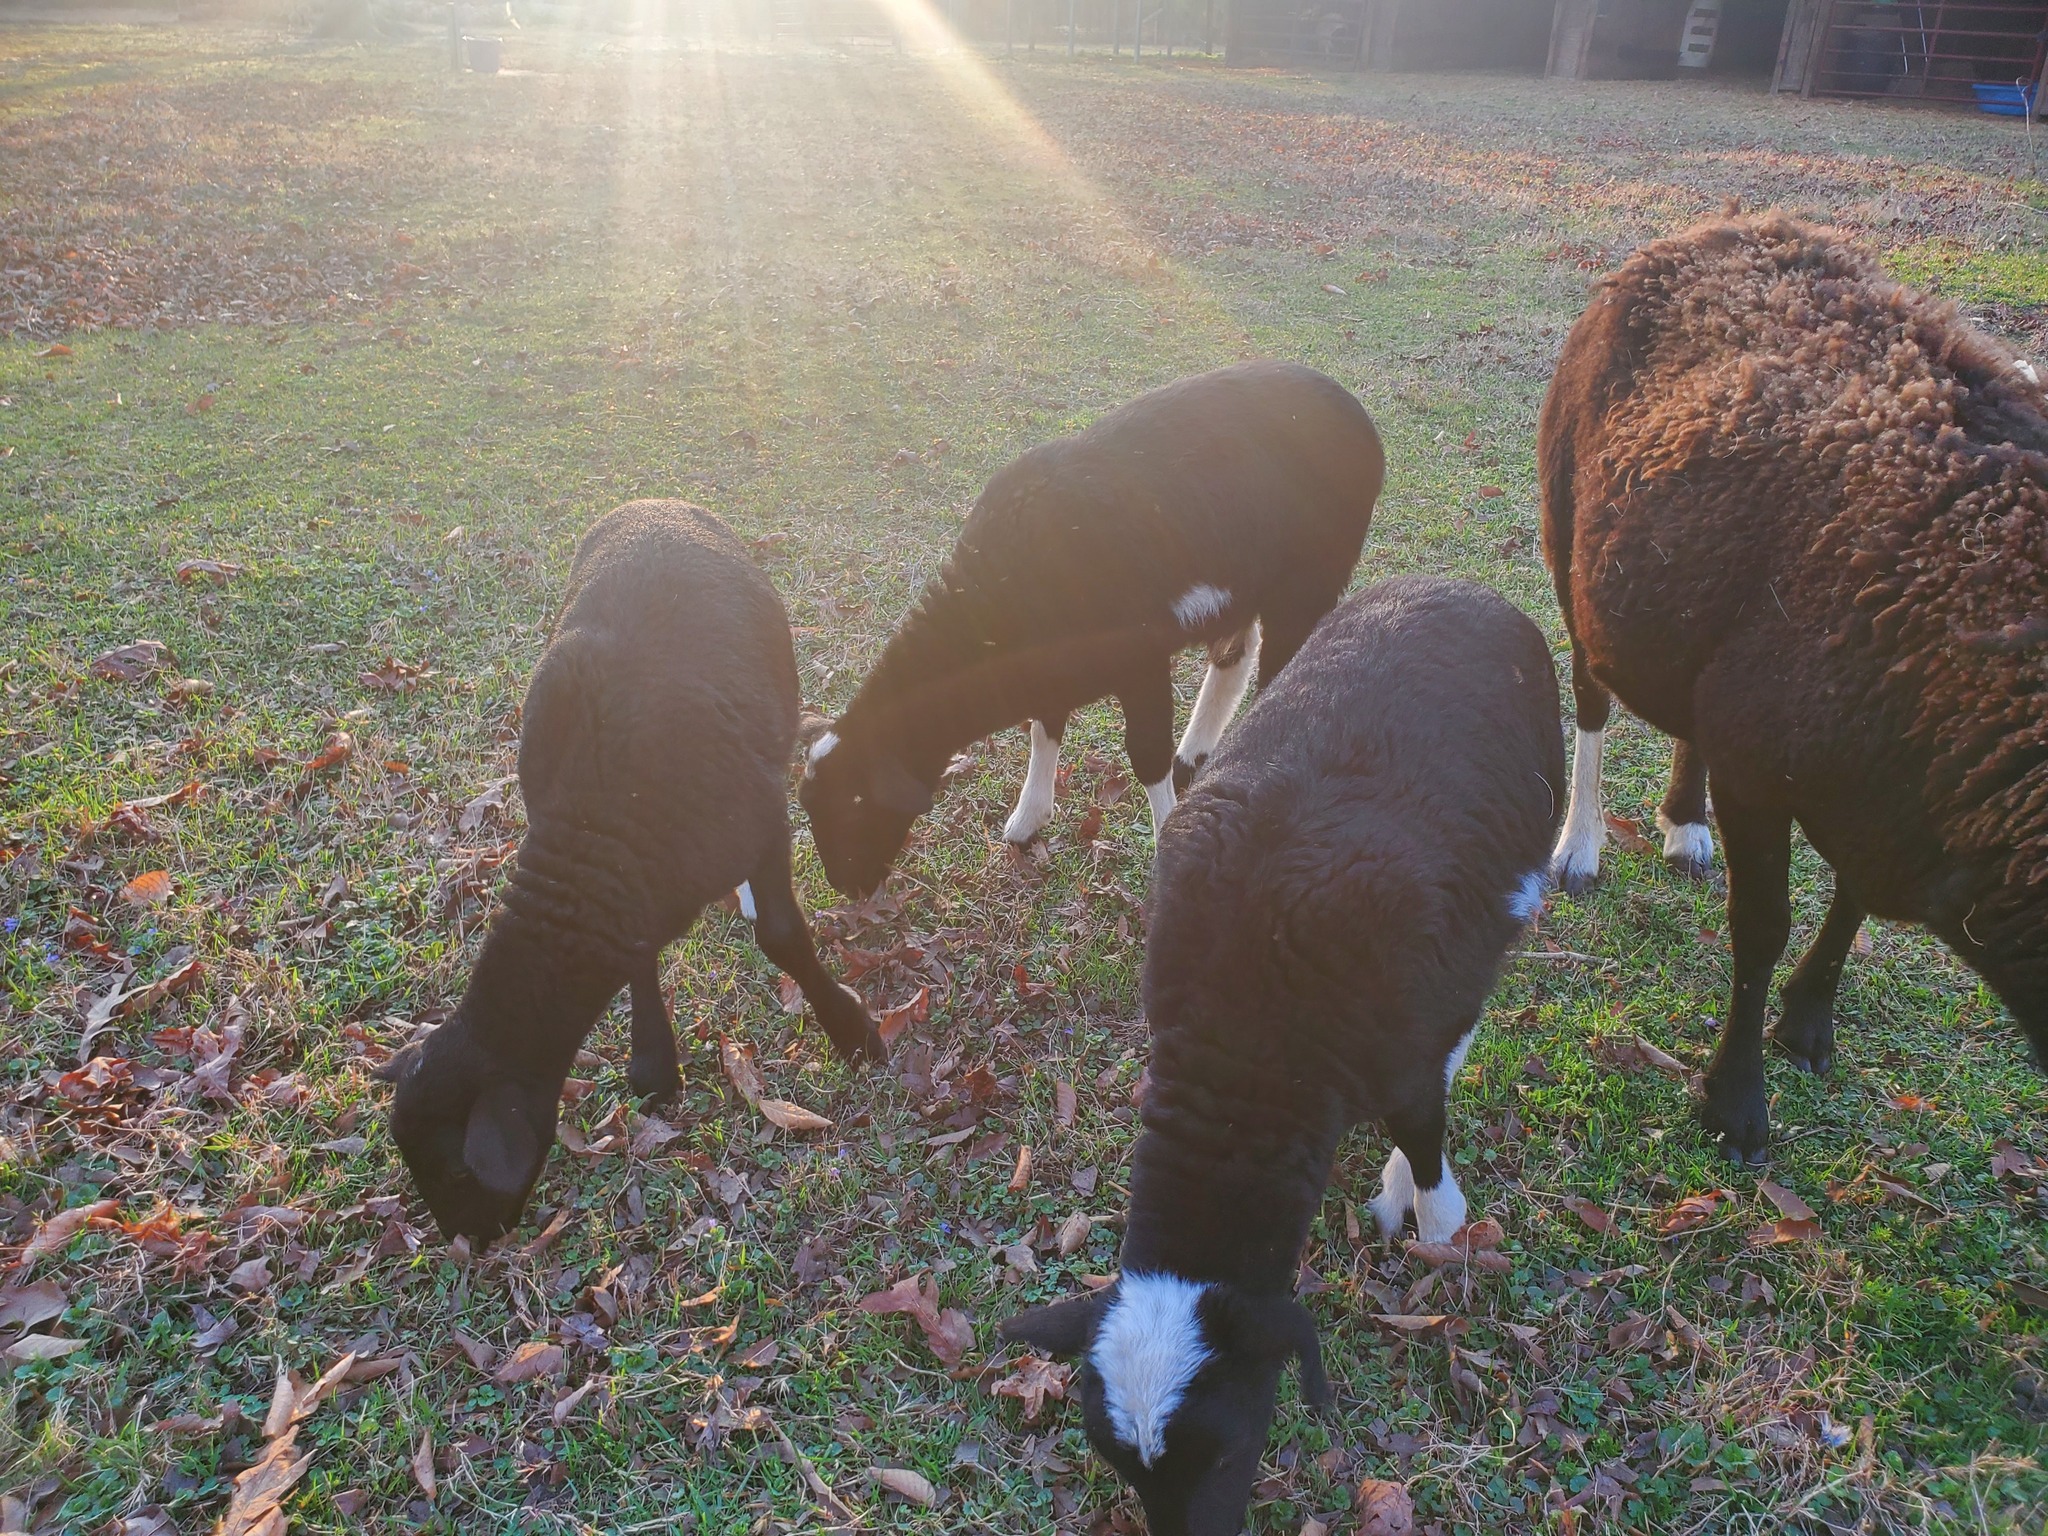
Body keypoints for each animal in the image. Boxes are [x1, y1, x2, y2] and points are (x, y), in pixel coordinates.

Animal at [379, 502, 883, 1241]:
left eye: (451, 1170)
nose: (471, 1241)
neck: (599, 831)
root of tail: (654, 503)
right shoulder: (627, 889)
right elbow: (642, 957)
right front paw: (653, 1064)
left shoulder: (762, 824)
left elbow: (783, 937)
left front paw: (852, 1031)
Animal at [799, 361, 1384, 898]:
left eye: (855, 808)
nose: (847, 889)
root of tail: (1352, 409)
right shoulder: (1048, 666)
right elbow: (1045, 727)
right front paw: (1028, 819)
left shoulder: (1141, 658)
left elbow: (1145, 753)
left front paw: (1164, 844)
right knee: (1234, 656)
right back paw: (1197, 757)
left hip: (1311, 577)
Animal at [1002, 576, 1564, 1536]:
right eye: (1119, 1466)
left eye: (1230, 1451)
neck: (1252, 1049)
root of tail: (1452, 587)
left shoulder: (1402, 1052)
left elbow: (1429, 1148)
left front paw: (1435, 1237)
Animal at [1542, 211, 2048, 1162]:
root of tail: (1718, 227)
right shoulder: (1772, 772)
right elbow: (1762, 927)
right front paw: (1736, 1104)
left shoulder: (1884, 780)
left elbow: (1850, 901)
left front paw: (1809, 1023)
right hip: (1573, 541)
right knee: (1591, 697)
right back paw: (1581, 847)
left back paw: (1684, 826)